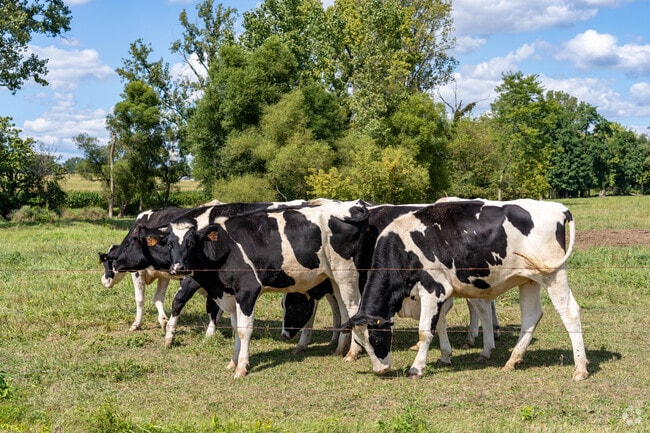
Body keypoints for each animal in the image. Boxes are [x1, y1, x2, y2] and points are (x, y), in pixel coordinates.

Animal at [161, 199, 370, 378]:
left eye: (191, 243)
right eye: (169, 244)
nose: (178, 268)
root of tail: (348, 206)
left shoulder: (247, 291)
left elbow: (244, 330)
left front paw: (241, 368)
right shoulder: (231, 295)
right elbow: (235, 327)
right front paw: (233, 362)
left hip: (347, 274)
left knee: (353, 308)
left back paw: (353, 352)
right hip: (334, 279)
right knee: (343, 310)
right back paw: (340, 349)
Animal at [345, 198, 589, 381]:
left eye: (376, 338)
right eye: (360, 342)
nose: (381, 370)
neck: (403, 247)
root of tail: (558, 208)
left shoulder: (433, 289)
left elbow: (425, 331)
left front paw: (416, 368)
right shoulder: (442, 292)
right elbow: (439, 325)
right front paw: (445, 355)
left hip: (552, 274)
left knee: (570, 312)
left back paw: (580, 368)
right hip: (528, 280)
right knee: (531, 316)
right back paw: (512, 360)